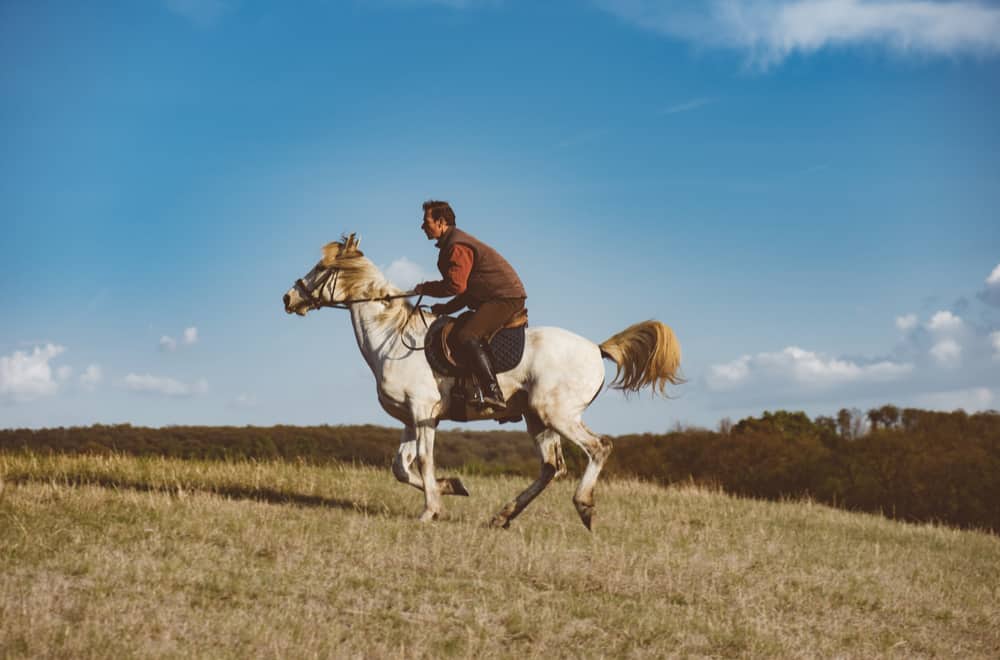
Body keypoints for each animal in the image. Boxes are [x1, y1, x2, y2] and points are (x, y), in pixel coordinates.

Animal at [282, 234, 682, 530]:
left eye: (321, 267)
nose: (288, 298)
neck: (392, 338)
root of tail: (596, 349)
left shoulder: (423, 411)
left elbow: (423, 460)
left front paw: (430, 509)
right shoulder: (412, 417)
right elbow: (401, 467)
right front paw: (451, 487)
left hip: (557, 414)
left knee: (598, 449)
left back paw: (583, 507)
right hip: (536, 418)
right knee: (552, 467)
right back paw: (502, 516)